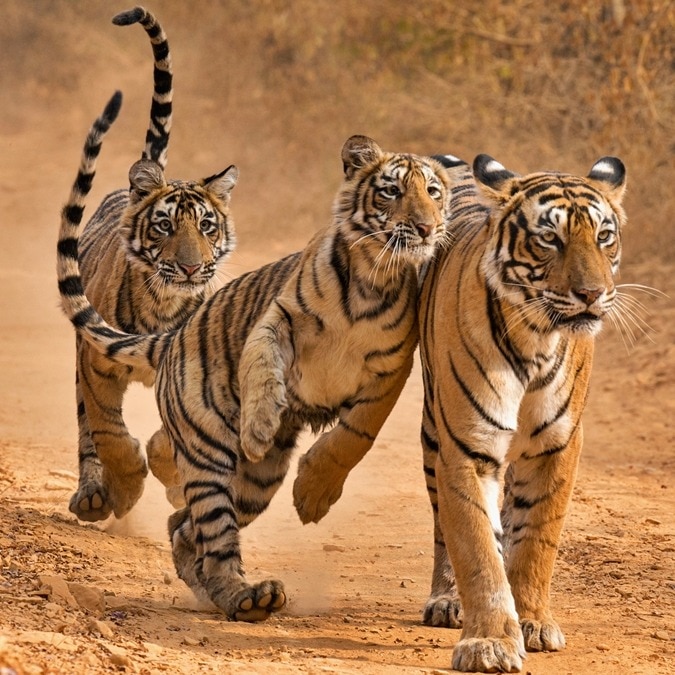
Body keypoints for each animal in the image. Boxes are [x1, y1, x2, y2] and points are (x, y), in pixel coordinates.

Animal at [58, 95, 454, 621]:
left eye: (433, 192)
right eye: (392, 191)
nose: (427, 227)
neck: (373, 276)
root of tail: (173, 337)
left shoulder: (392, 369)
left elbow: (355, 435)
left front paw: (313, 496)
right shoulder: (278, 315)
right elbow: (263, 363)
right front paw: (260, 425)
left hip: (255, 483)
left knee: (186, 530)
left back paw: (235, 594)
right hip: (208, 453)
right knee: (209, 528)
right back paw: (246, 595)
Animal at [66, 6, 239, 524]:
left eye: (206, 226)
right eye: (165, 226)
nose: (190, 269)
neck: (164, 303)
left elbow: (171, 439)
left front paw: (173, 480)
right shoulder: (96, 363)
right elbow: (110, 434)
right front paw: (125, 490)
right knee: (87, 430)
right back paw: (93, 495)